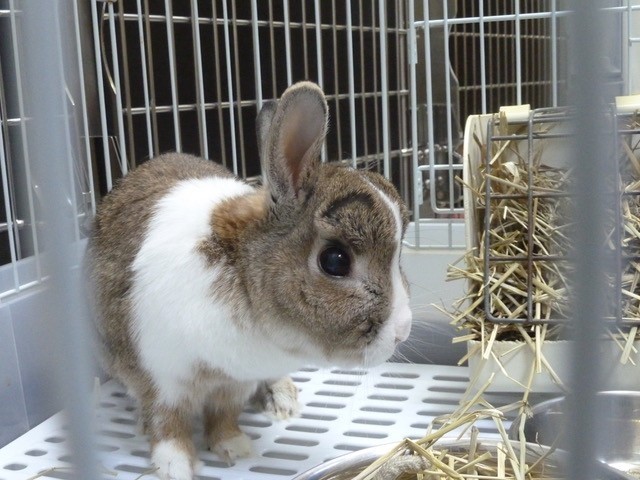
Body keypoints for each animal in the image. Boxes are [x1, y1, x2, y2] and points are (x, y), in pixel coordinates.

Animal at [86, 81, 412, 480]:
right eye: (335, 261)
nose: (403, 332)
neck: (242, 274)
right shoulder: (162, 375)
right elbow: (169, 421)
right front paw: (174, 465)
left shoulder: (235, 381)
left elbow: (224, 414)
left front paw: (233, 447)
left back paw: (282, 400)